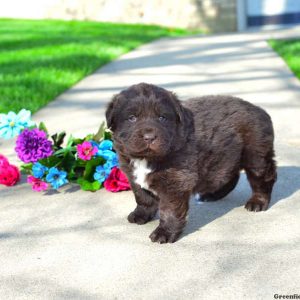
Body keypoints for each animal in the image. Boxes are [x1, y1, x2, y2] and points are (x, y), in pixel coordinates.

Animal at [105, 82, 276, 244]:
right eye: (132, 118)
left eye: (162, 118)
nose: (149, 137)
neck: (146, 158)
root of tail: (260, 110)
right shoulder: (133, 175)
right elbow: (142, 197)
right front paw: (140, 215)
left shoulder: (175, 182)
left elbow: (169, 210)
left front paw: (164, 233)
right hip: (226, 156)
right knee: (230, 175)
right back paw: (212, 195)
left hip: (256, 155)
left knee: (263, 178)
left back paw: (257, 202)